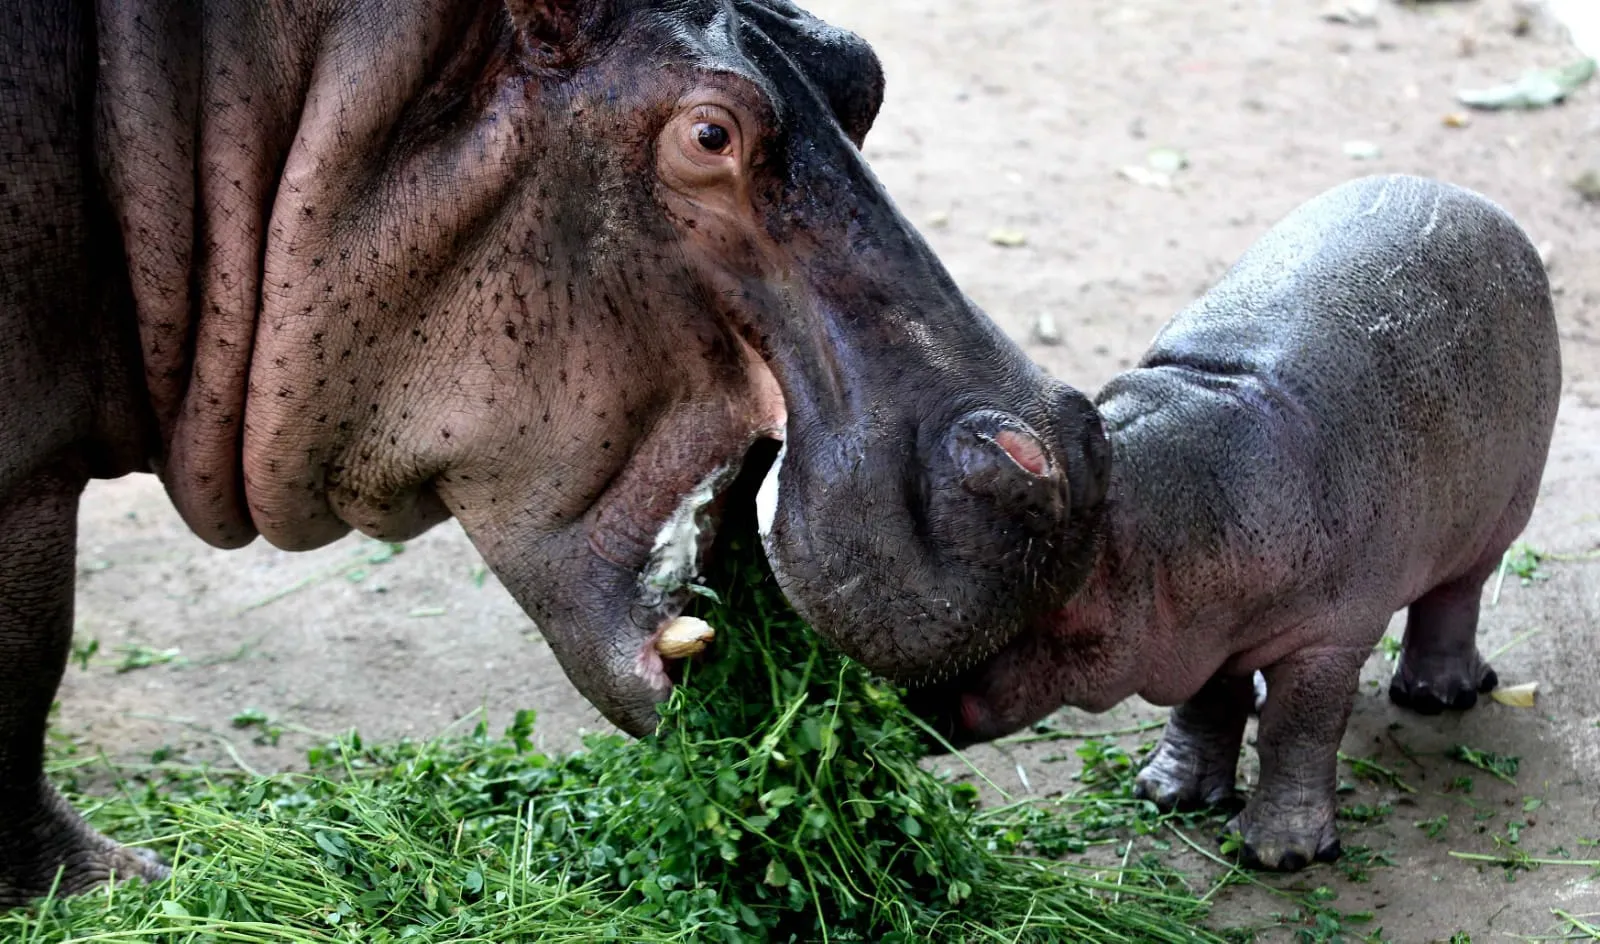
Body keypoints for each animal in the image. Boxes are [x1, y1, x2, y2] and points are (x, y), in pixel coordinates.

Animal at [0, 0, 1111, 904]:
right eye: (709, 134)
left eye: (861, 72)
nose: (1069, 451)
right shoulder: (24, 479)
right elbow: (26, 666)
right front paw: (109, 885)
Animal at [910, 174, 1562, 871]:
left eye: (1052, 595)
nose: (914, 698)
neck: (1163, 509)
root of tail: (1468, 196)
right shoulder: (1205, 621)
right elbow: (1206, 705)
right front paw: (1169, 795)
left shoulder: (1328, 635)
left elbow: (1297, 731)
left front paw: (1279, 855)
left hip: (1496, 515)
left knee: (1455, 597)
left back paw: (1438, 696)